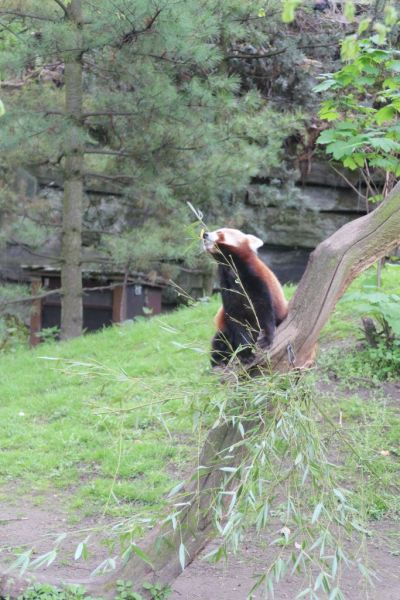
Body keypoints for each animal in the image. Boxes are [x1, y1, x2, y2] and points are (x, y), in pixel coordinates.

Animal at [202, 228, 288, 365]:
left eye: (220, 232)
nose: (205, 234)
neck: (231, 271)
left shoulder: (257, 282)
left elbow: (265, 313)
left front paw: (266, 338)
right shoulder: (227, 290)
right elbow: (237, 321)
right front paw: (245, 353)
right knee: (221, 340)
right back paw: (219, 360)